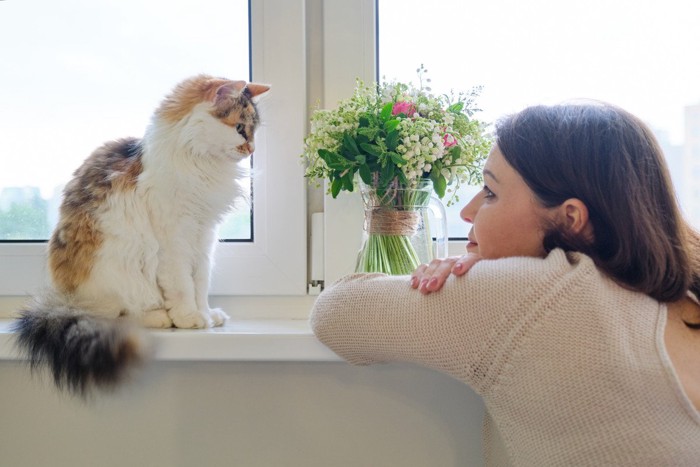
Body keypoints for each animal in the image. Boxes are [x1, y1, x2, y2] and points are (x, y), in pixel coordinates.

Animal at [14, 75, 270, 396]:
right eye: (239, 128)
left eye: (254, 130)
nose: (252, 149)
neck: (201, 166)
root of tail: (65, 300)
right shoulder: (175, 239)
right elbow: (183, 286)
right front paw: (189, 317)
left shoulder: (203, 237)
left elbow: (200, 284)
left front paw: (207, 314)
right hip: (119, 269)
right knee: (117, 314)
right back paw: (160, 317)